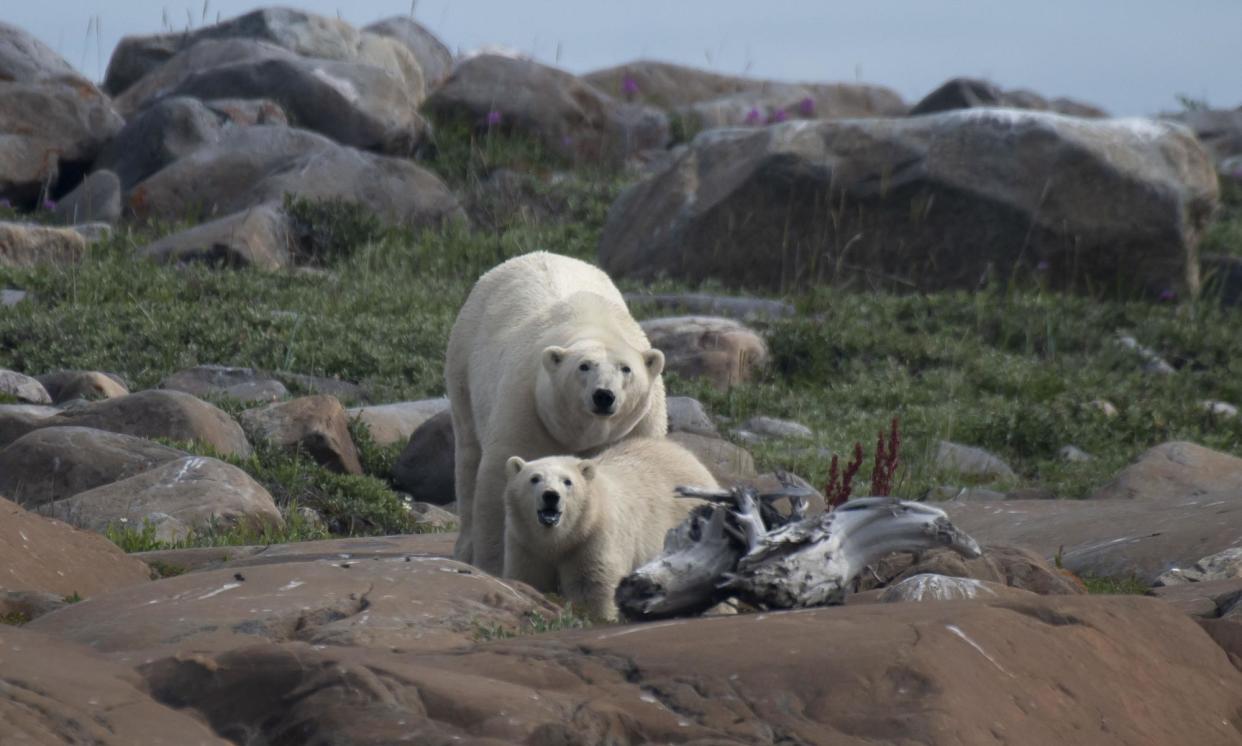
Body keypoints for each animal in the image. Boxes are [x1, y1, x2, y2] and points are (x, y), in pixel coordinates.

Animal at [442, 250, 665, 570]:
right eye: (584, 366)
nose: (604, 396)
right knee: (468, 455)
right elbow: (501, 479)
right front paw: (495, 566)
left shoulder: (640, 424)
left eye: (626, 369)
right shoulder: (526, 405)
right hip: (464, 362)